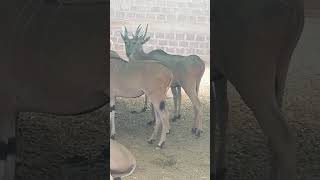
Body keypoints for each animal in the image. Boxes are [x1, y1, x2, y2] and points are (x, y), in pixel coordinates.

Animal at [212, 0, 304, 179]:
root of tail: (295, 7)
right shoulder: (218, 73)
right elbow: (220, 111)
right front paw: (217, 167)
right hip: (280, 67)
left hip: (248, 68)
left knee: (284, 139)